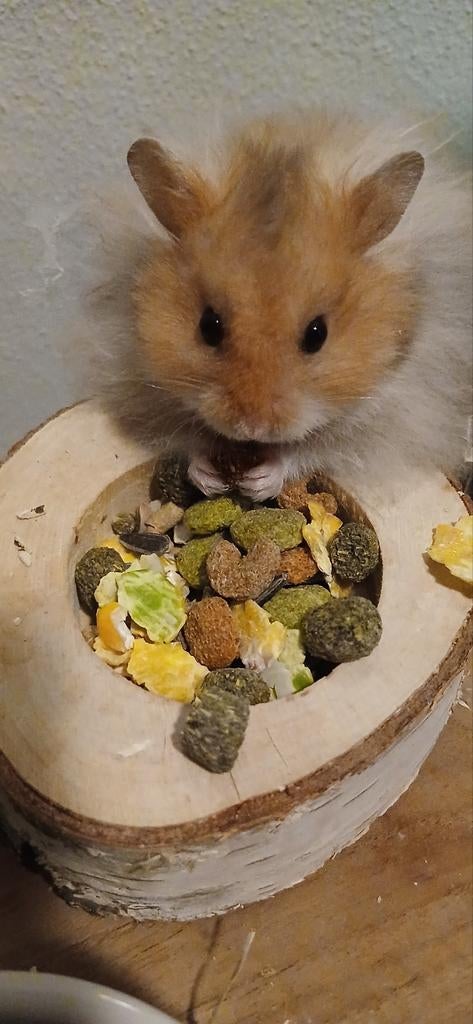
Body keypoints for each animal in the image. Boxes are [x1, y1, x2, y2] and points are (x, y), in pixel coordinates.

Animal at [88, 110, 472, 500]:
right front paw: (210, 477)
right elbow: (188, 439)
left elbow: (305, 450)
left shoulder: (376, 420)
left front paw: (258, 482)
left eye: (318, 334)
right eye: (208, 326)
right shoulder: (146, 396)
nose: (251, 427)